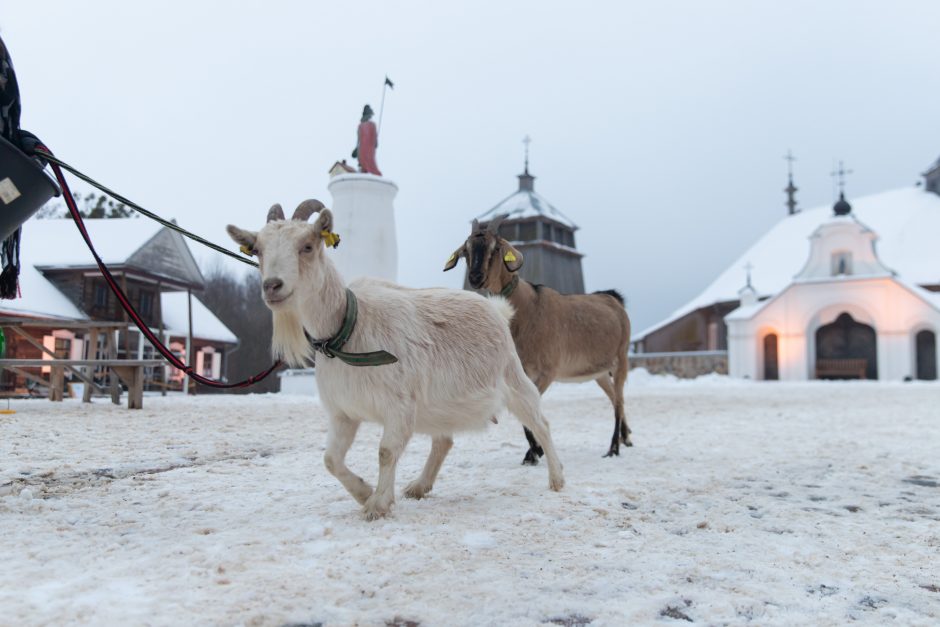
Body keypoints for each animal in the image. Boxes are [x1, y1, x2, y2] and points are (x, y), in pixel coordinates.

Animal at [228, 200, 564, 520]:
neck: (348, 326)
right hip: (439, 404)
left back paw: (557, 479)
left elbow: (386, 452)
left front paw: (378, 505)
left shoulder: (398, 406)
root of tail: (496, 310)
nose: (272, 286)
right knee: (443, 441)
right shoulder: (343, 413)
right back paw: (419, 486)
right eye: (257, 249)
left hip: (513, 379)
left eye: (307, 245)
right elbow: (330, 460)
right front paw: (364, 493)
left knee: (541, 423)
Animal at [446, 217, 636, 462]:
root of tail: (613, 299)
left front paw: (535, 450)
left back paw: (613, 447)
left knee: (619, 400)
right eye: (466, 250)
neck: (527, 308)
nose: (476, 277)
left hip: (621, 358)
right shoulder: (521, 371)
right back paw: (625, 438)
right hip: (600, 371)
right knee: (614, 398)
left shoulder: (548, 370)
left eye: (496, 248)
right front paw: (533, 451)